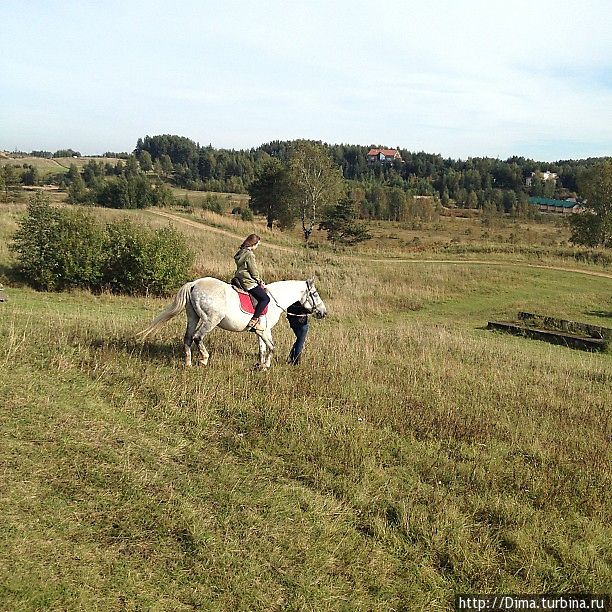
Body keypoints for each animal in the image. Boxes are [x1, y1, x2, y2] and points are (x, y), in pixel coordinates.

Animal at [139, 278, 328, 368]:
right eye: (315, 294)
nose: (323, 312)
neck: (275, 300)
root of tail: (194, 284)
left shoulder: (260, 331)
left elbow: (262, 348)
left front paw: (260, 365)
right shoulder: (265, 330)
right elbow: (272, 347)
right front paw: (266, 365)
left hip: (193, 317)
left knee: (187, 338)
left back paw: (188, 363)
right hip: (210, 320)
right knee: (197, 337)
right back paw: (204, 360)